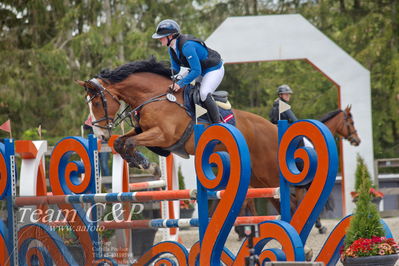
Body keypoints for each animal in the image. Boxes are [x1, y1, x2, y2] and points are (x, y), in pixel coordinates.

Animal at [75, 58, 362, 214]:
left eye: (97, 103)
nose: (98, 132)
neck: (155, 96)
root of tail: (275, 131)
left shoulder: (163, 135)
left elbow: (131, 142)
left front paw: (147, 165)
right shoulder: (150, 134)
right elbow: (123, 142)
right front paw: (146, 164)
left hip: (269, 173)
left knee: (288, 198)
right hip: (257, 179)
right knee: (279, 200)